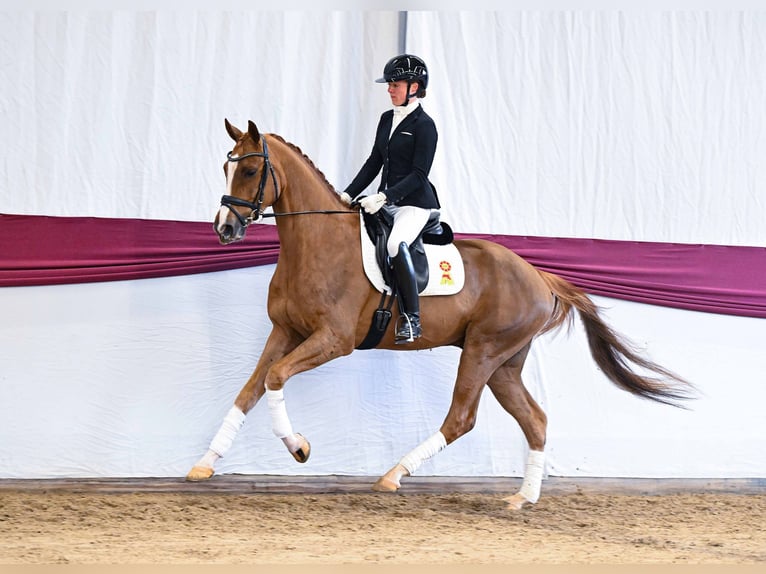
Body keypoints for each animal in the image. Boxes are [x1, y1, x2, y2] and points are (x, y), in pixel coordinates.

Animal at [186, 119, 694, 509]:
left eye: (251, 168)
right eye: (226, 166)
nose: (224, 228)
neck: (315, 244)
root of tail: (539, 276)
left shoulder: (333, 340)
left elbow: (274, 379)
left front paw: (299, 448)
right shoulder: (284, 332)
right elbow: (249, 390)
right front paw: (204, 464)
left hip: (483, 351)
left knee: (461, 418)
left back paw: (393, 474)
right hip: (504, 363)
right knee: (534, 419)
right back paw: (522, 499)